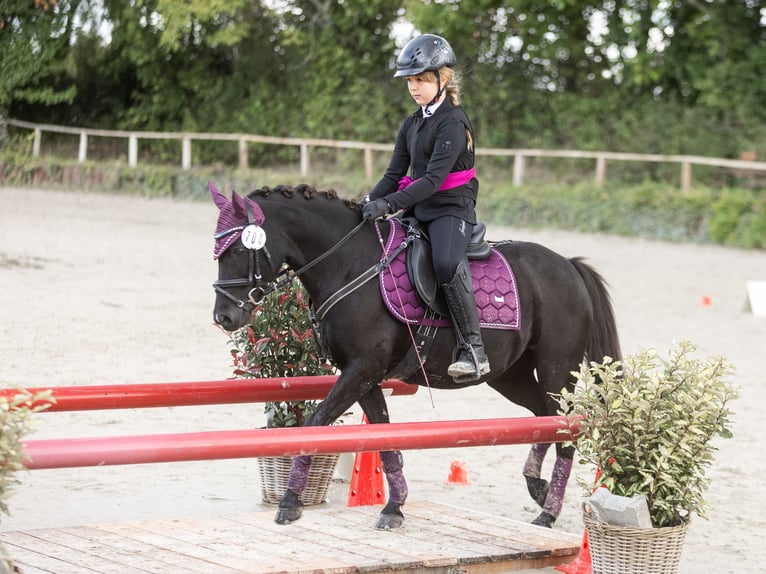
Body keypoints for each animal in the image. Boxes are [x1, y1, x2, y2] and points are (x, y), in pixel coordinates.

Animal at [210, 182, 621, 530]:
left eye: (237, 250)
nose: (224, 317)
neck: (348, 263)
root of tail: (568, 265)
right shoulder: (363, 376)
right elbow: (383, 436)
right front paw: (394, 507)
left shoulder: (362, 369)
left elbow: (314, 424)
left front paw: (291, 501)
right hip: (510, 376)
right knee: (543, 417)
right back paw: (536, 487)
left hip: (557, 369)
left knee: (565, 428)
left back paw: (548, 514)